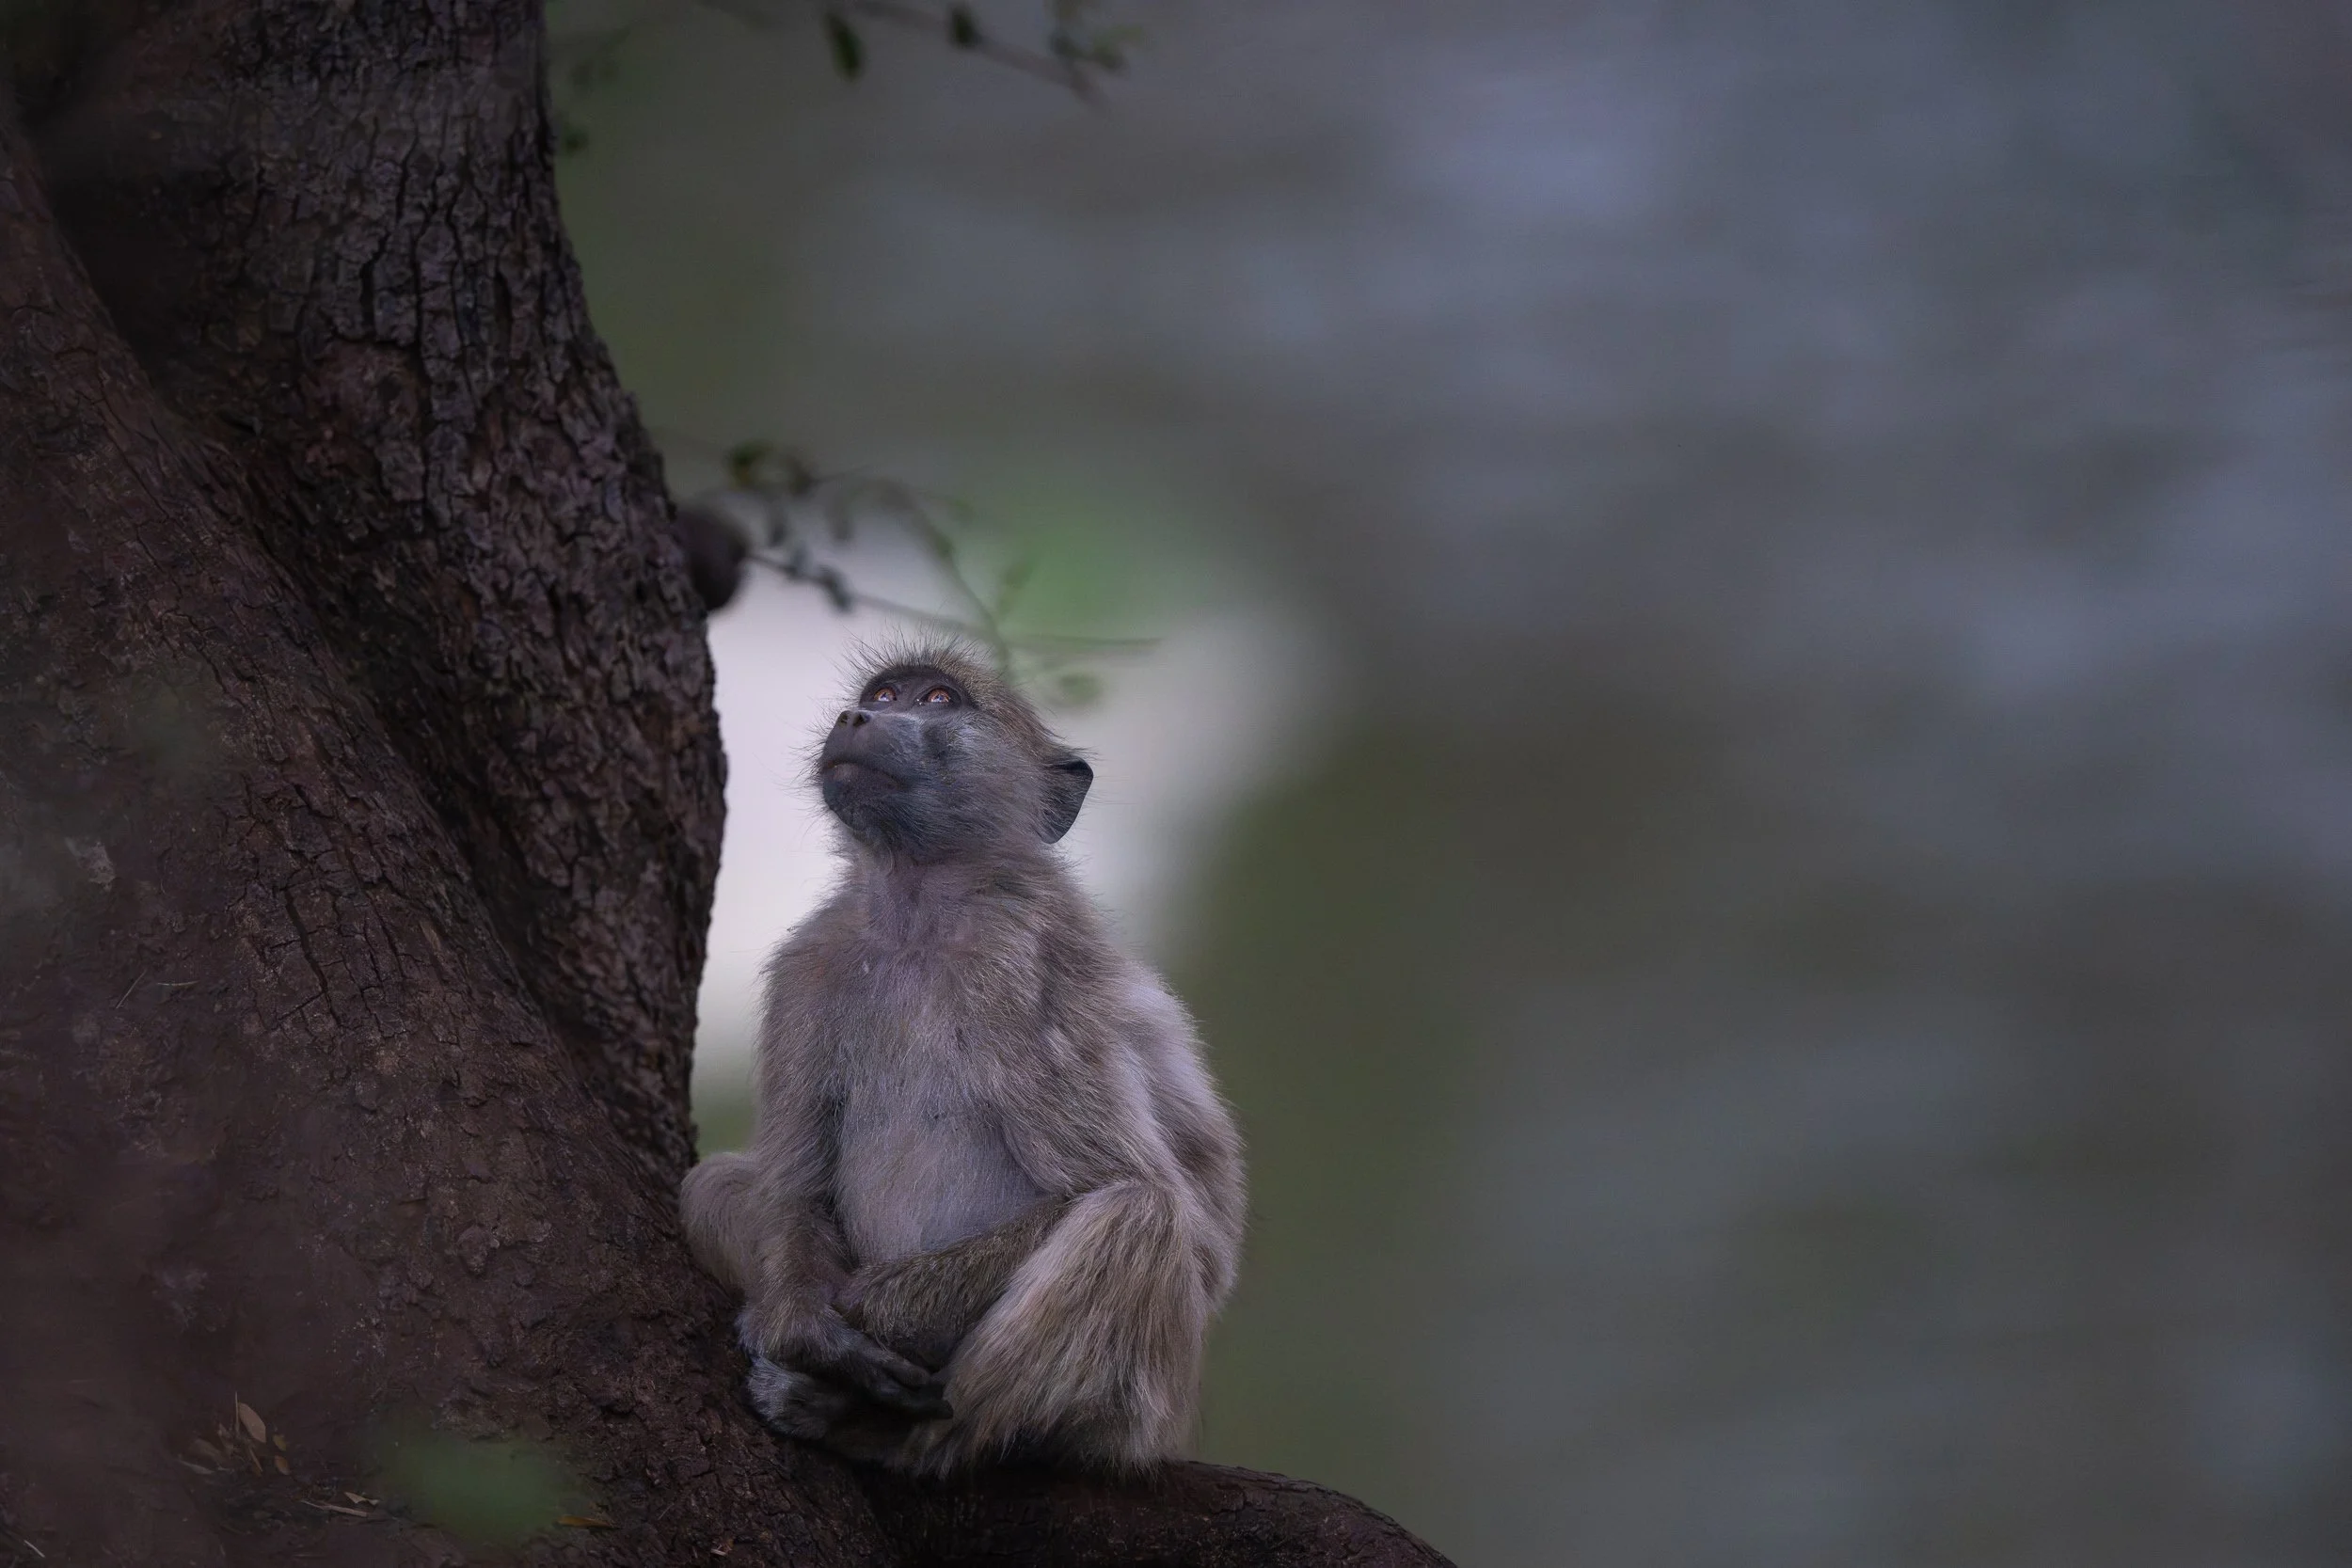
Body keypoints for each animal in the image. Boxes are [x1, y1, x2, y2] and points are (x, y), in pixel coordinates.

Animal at [679, 643, 1246, 1476]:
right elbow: (795, 1187)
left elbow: (1119, 1184)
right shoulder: (810, 967)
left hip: (1140, 1408)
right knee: (711, 1185)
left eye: (939, 699)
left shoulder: (1025, 967)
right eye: (884, 693)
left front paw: (855, 1325)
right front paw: (808, 1330)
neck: (919, 911)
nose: (859, 716)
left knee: (1140, 1216)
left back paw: (881, 1430)